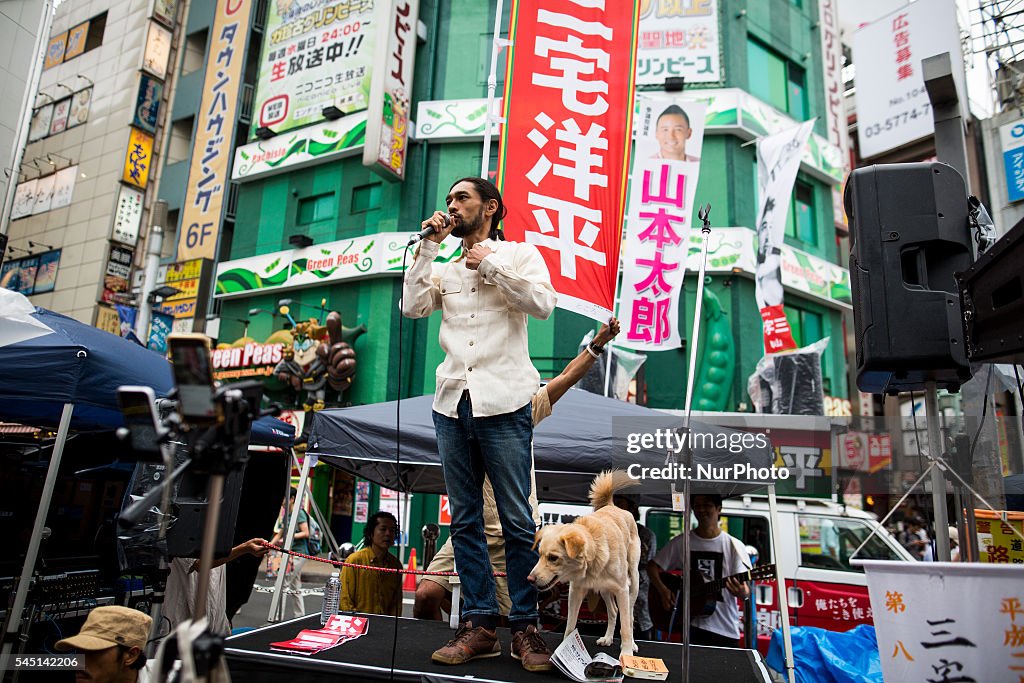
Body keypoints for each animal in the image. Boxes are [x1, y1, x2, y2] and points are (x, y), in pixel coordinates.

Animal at [528, 471, 638, 655]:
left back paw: (632, 645)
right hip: (604, 589)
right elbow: (570, 626)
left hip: (633, 582)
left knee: (629, 616)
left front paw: (626, 654)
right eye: (540, 555)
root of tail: (612, 506)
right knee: (613, 611)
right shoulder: (575, 591)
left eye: (553, 558)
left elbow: (625, 627)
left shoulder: (622, 589)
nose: (530, 579)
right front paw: (564, 650)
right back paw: (608, 638)